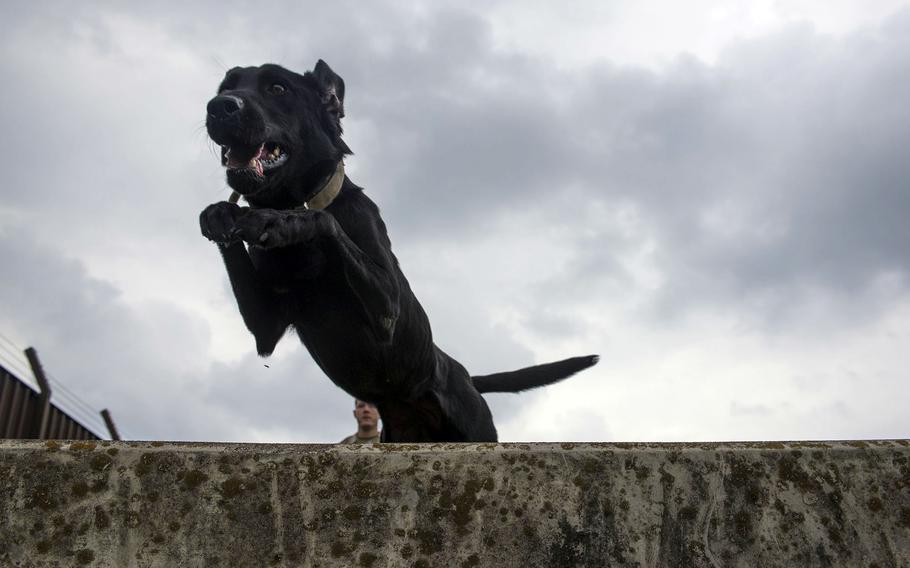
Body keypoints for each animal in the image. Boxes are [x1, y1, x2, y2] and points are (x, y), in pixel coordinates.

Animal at [200, 61, 600, 444]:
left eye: (278, 88)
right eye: (226, 87)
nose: (219, 107)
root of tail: (466, 376)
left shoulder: (386, 310)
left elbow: (323, 220)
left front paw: (279, 221)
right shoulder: (265, 328)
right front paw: (221, 213)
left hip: (478, 430)